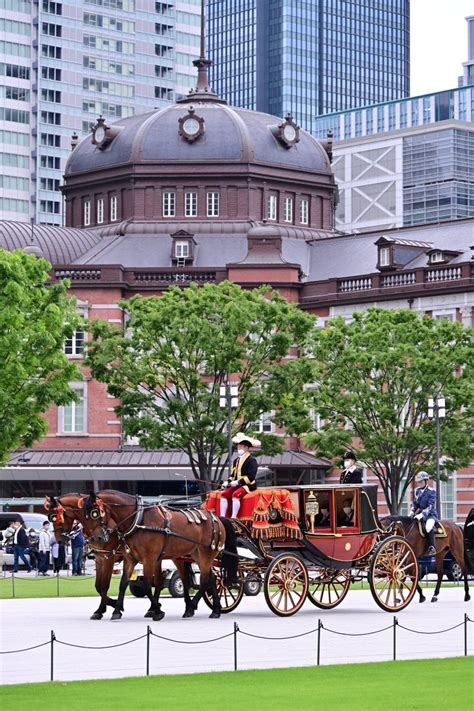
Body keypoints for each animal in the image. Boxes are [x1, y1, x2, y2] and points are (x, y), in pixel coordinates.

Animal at [80, 490, 237, 616]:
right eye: (85, 516)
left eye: (94, 513)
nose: (99, 538)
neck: (138, 520)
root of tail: (216, 518)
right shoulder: (130, 558)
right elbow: (123, 583)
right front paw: (117, 610)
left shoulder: (149, 558)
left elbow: (147, 584)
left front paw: (157, 611)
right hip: (196, 555)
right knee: (212, 579)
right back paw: (215, 610)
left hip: (206, 554)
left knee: (204, 581)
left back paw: (192, 606)